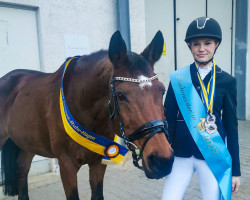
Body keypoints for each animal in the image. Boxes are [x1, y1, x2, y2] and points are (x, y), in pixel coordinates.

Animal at [0, 30, 173, 199]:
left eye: (162, 90)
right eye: (120, 95)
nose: (162, 161)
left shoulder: (98, 162)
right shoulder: (67, 166)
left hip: (27, 144)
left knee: (22, 170)